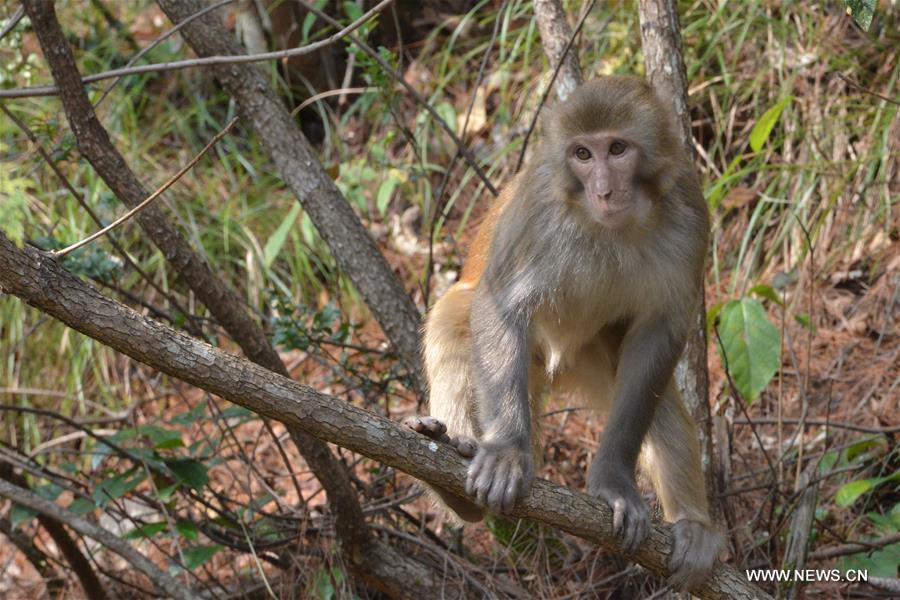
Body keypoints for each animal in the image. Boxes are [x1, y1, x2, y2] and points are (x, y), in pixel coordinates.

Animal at [408, 74, 724, 584]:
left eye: (617, 148)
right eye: (582, 154)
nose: (603, 191)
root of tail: (556, 370)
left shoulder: (690, 215)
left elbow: (660, 334)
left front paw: (613, 482)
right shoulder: (538, 214)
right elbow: (500, 303)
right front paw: (507, 451)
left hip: (593, 353)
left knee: (658, 402)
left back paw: (694, 528)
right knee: (455, 317)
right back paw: (456, 475)